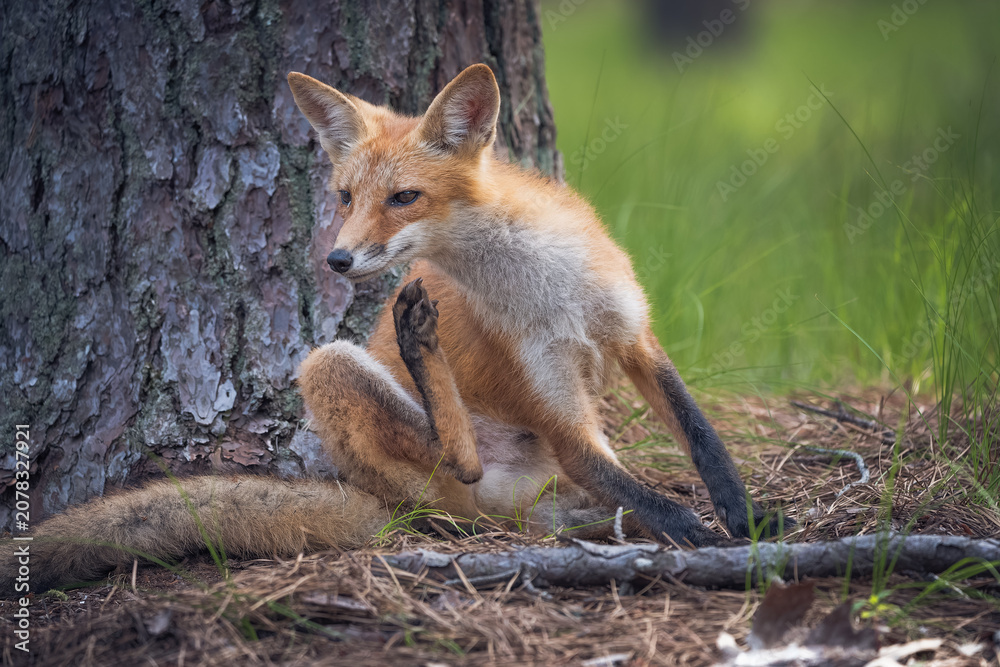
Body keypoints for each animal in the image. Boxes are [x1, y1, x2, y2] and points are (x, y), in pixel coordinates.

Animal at [2, 64, 789, 594]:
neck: (546, 285)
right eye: (347, 197)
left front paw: (745, 518)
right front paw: (691, 532)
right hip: (332, 370)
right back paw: (420, 349)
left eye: (404, 197)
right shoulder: (554, 402)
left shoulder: (633, 338)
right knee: (458, 481)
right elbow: (632, 483)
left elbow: (702, 438)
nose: (338, 258)